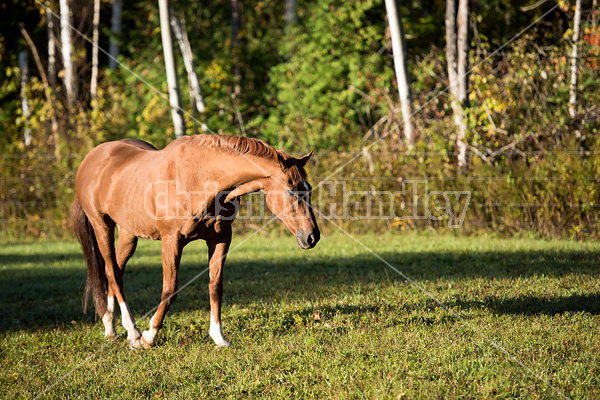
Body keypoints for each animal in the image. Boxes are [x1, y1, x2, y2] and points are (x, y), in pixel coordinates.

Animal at [71, 134, 322, 346]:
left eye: (308, 189)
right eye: (291, 191)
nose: (312, 237)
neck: (200, 179)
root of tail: (92, 158)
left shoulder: (221, 238)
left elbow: (215, 286)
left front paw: (218, 337)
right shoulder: (171, 240)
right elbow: (170, 289)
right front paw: (149, 336)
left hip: (128, 233)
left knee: (114, 272)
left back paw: (111, 328)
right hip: (102, 226)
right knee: (112, 273)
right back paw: (132, 332)